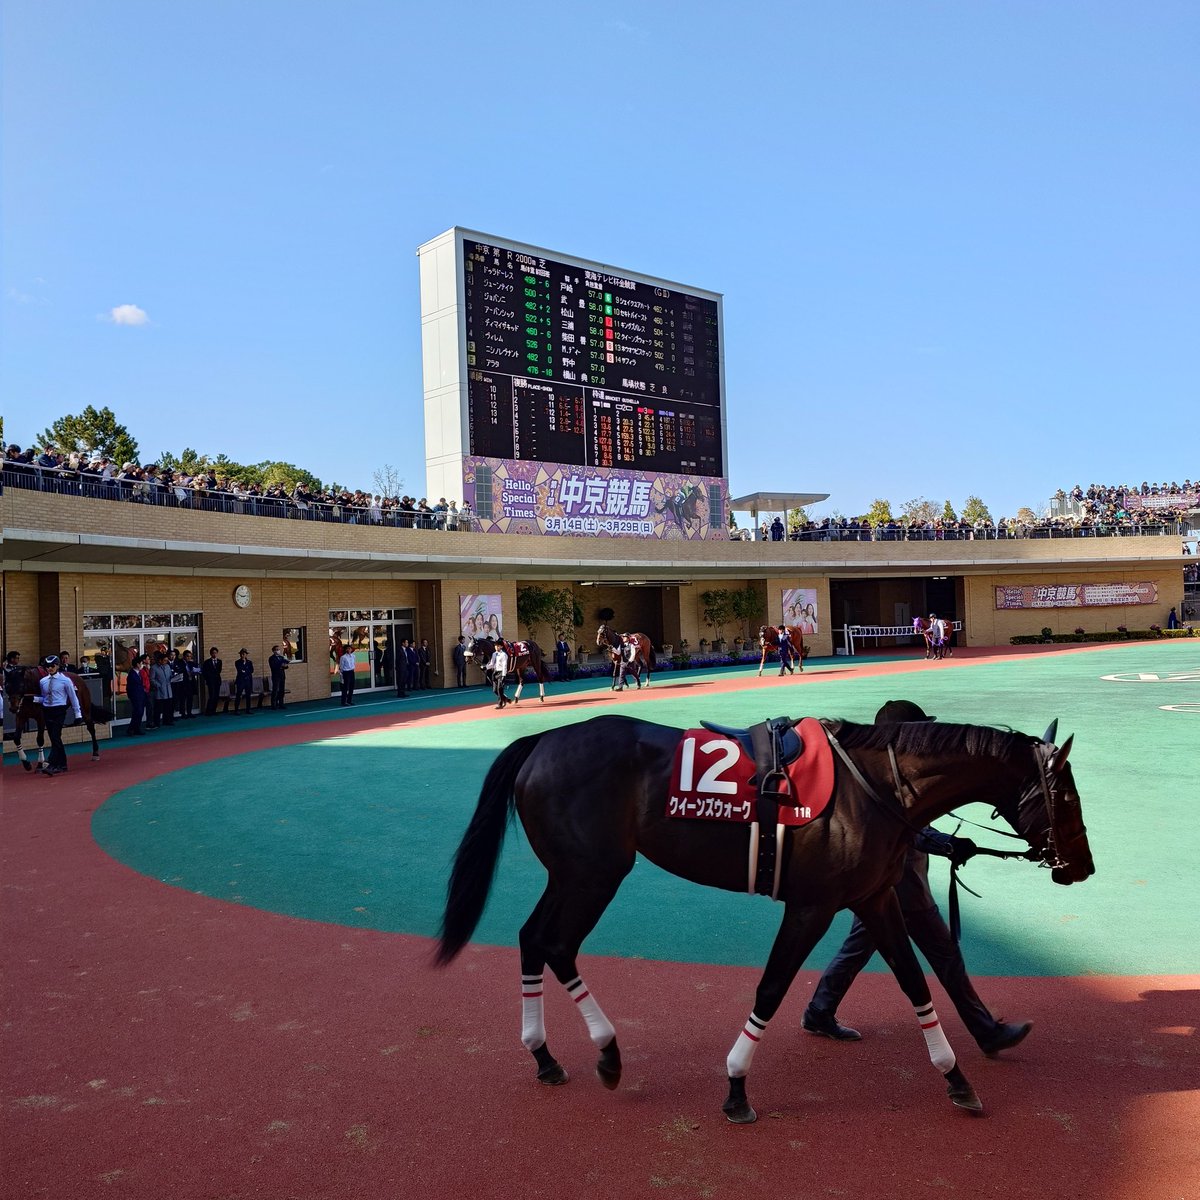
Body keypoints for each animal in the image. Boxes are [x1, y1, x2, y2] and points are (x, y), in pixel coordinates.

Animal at [438, 713, 1093, 1123]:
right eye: (1067, 795)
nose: (1082, 867)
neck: (874, 789)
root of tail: (541, 740)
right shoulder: (813, 905)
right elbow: (772, 987)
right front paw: (735, 1086)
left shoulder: (875, 899)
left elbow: (915, 982)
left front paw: (957, 1078)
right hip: (593, 874)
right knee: (556, 944)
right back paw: (607, 1053)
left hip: (573, 874)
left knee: (533, 939)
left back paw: (546, 1056)